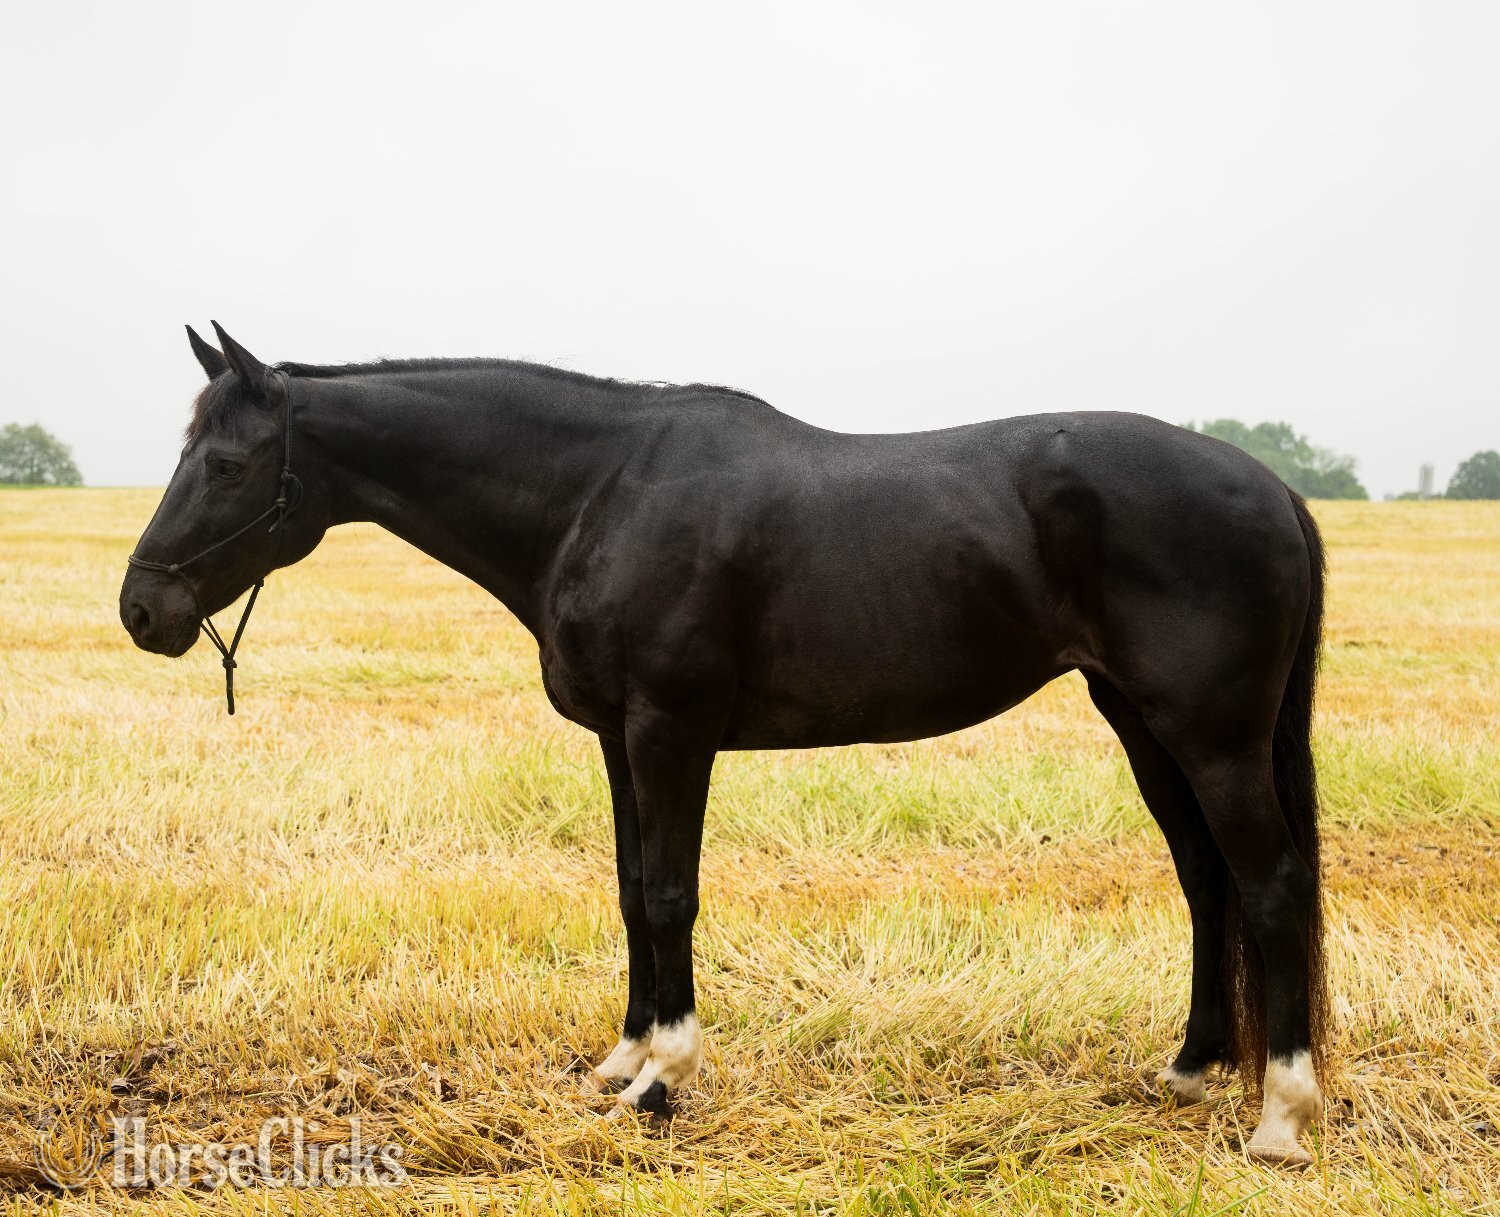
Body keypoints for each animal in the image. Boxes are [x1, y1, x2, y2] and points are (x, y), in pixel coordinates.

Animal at [121, 324, 1329, 1165]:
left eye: (225, 465)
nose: (141, 609)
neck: (600, 494)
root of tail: (1273, 486)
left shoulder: (672, 729)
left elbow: (669, 893)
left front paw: (664, 1077)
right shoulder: (619, 739)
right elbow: (626, 888)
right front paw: (619, 1058)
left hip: (1212, 736)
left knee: (1267, 883)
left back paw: (1280, 1115)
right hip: (1143, 723)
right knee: (1206, 879)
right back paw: (1190, 1068)